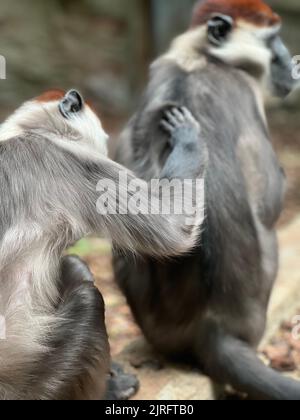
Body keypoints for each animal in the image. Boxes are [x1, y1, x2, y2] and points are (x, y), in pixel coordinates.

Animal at [0, 89, 205, 400]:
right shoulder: (73, 162)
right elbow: (174, 228)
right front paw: (188, 139)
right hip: (39, 381)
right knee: (88, 298)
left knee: (75, 268)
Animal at [112, 0, 300, 400]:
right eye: (272, 38)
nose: (286, 57)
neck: (200, 58)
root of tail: (211, 327)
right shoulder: (245, 90)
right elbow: (270, 200)